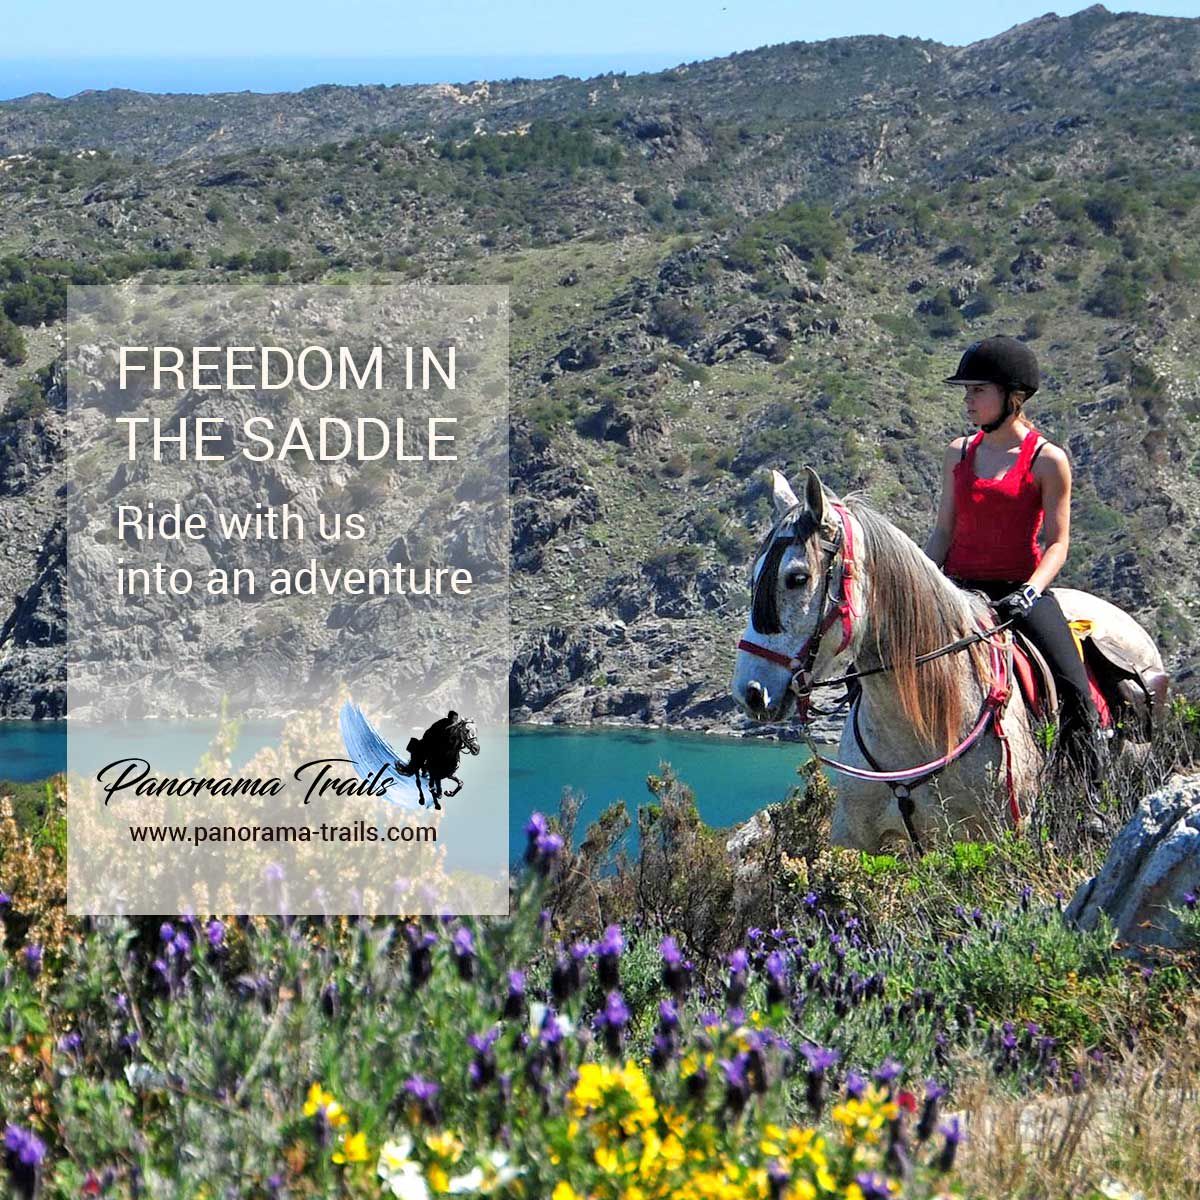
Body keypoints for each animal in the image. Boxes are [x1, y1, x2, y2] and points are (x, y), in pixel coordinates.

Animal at [730, 467, 1166, 853]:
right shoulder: (854, 840)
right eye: (753, 579)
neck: (924, 722)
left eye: (798, 578)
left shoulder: (1001, 836)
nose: (749, 693)